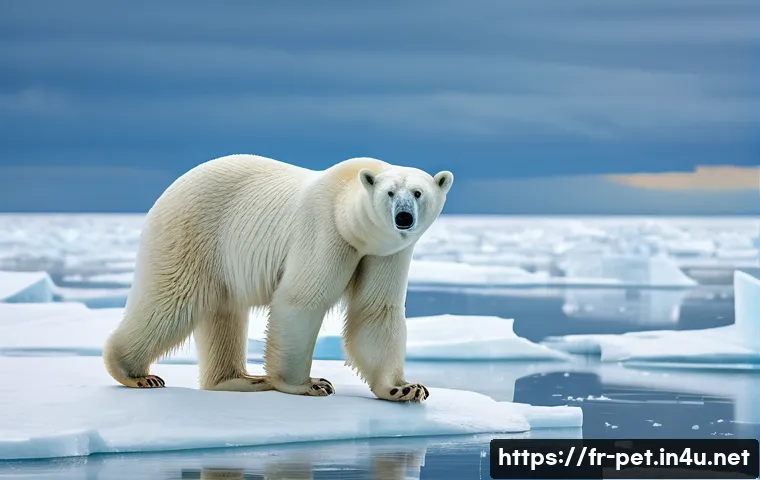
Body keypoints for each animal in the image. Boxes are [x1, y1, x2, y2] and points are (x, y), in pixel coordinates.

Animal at [103, 154, 453, 402]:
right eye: (391, 193)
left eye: (418, 193)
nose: (404, 218)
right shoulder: (326, 230)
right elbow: (302, 299)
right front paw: (311, 384)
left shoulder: (386, 253)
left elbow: (375, 310)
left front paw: (405, 388)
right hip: (192, 233)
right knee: (172, 301)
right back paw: (137, 374)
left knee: (223, 311)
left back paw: (241, 379)